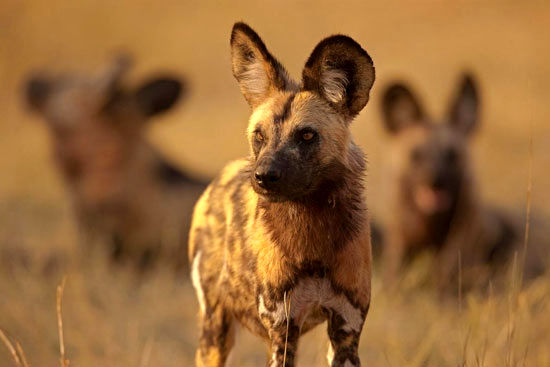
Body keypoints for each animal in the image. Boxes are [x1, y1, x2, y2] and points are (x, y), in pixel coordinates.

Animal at [189, 23, 376, 367]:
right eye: (259, 136)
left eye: (306, 135)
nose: (262, 176)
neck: (312, 237)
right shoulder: (283, 327)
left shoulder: (346, 328)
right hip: (215, 331)